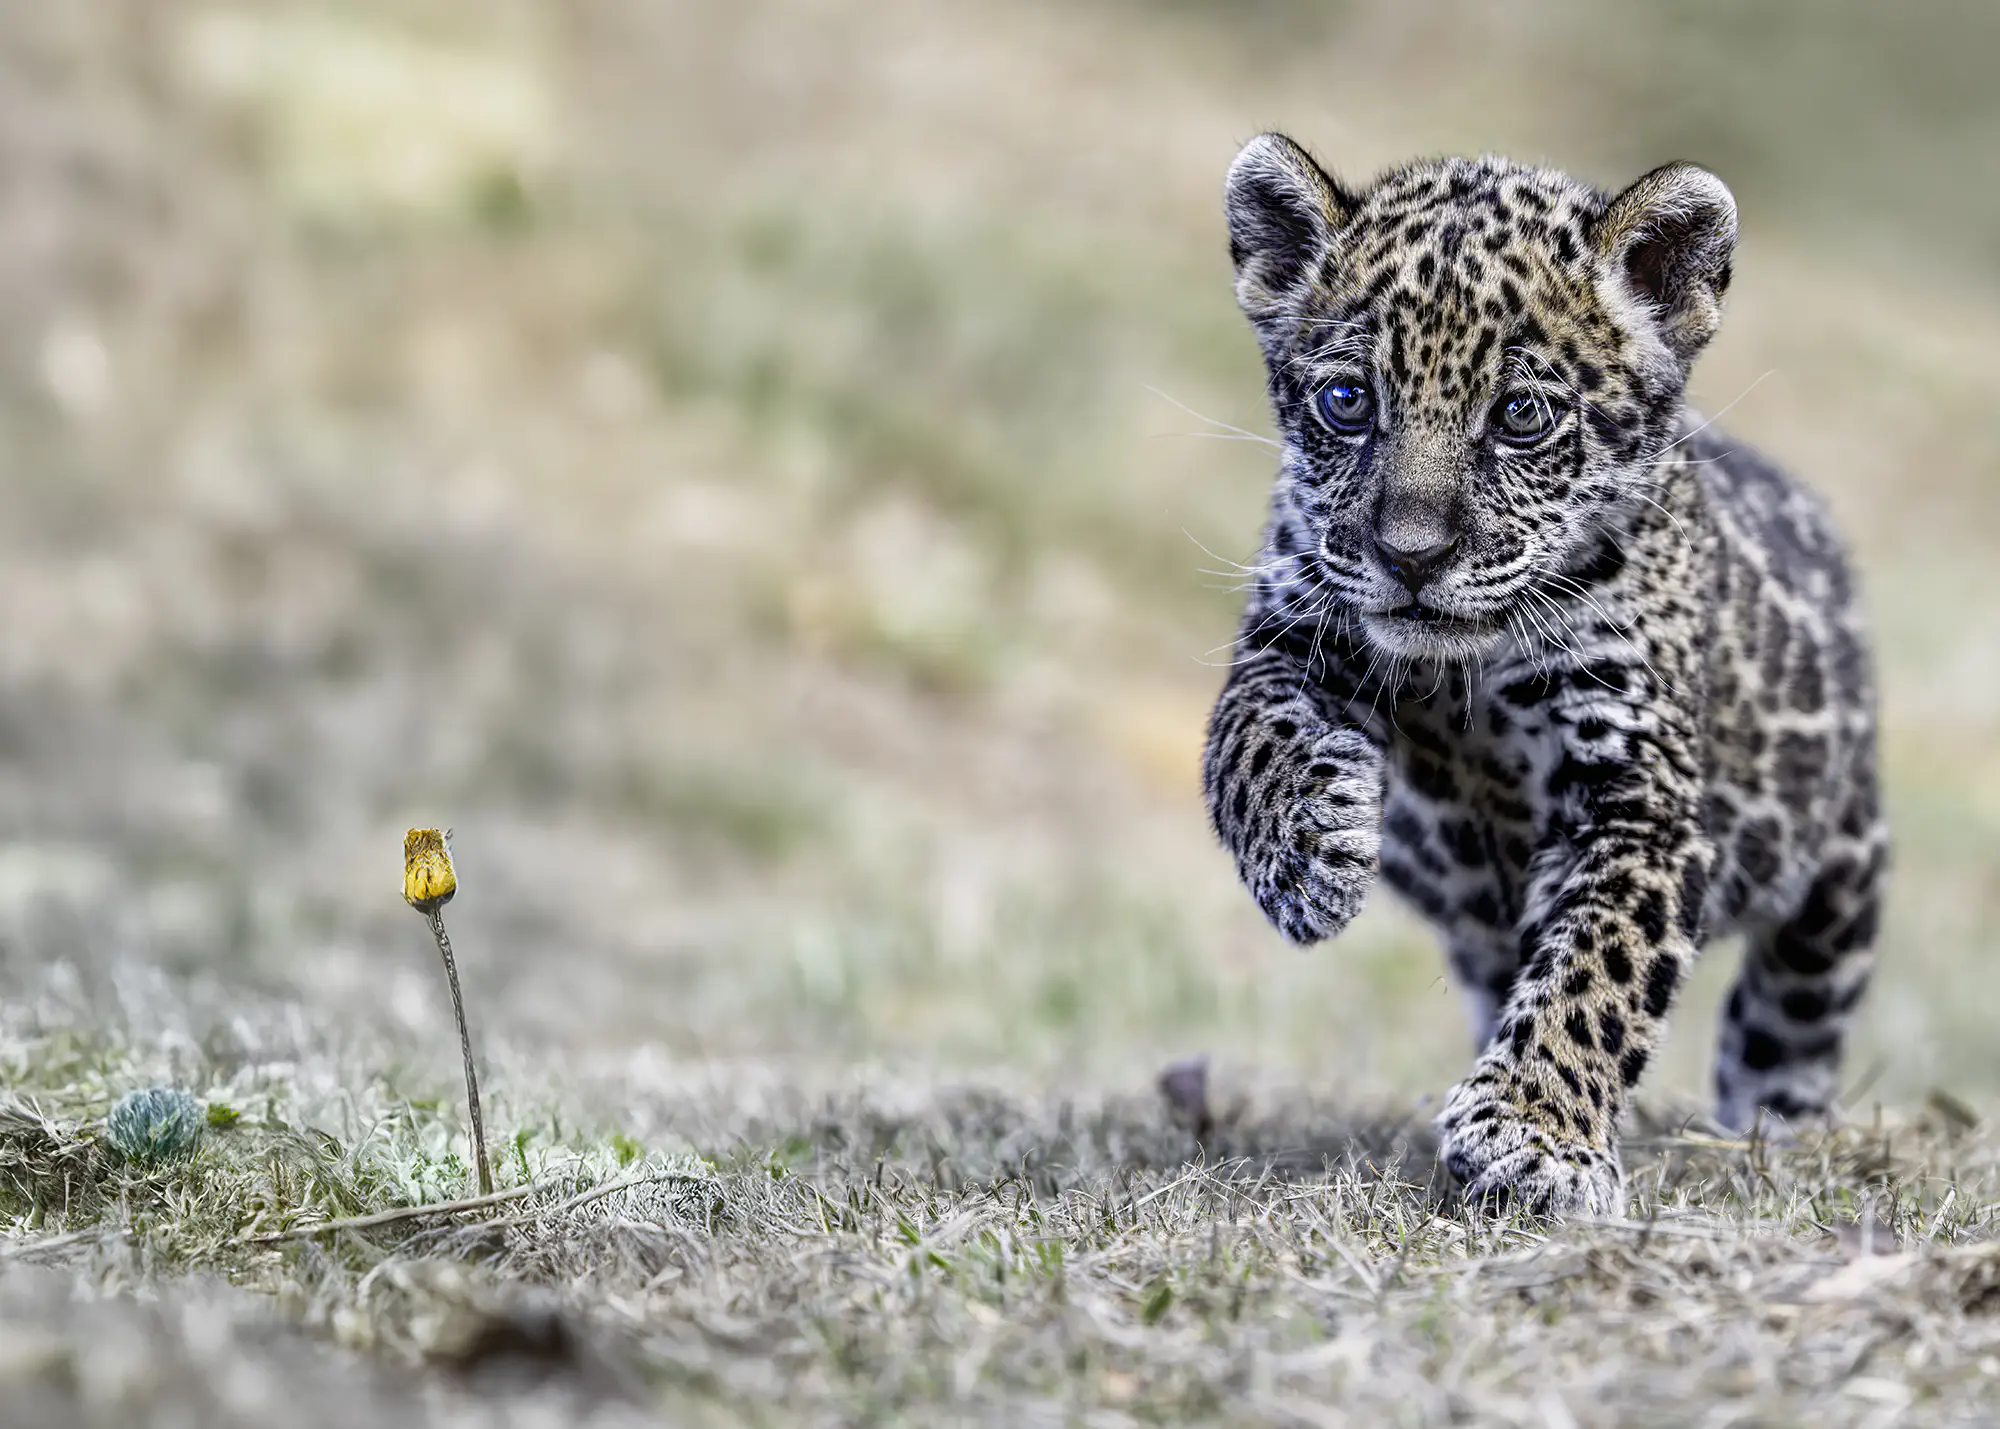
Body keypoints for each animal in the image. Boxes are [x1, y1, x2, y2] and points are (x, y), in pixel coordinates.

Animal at [1201, 134, 1886, 1215]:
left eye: (1521, 415)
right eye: (1347, 402)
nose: (1409, 556)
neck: (1469, 669)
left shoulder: (1635, 795)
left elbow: (1594, 970)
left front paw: (1533, 1134)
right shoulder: (1291, 625)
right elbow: (1247, 734)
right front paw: (1309, 851)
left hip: (1840, 873)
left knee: (1790, 1021)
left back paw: (1777, 1132)